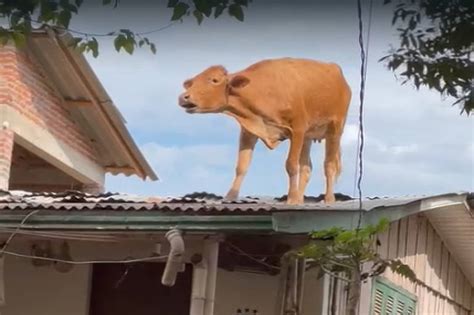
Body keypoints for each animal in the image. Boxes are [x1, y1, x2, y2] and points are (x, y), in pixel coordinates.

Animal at [178, 57, 352, 204]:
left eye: (214, 80)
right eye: (192, 83)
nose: (183, 97)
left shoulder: (298, 128)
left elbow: (291, 164)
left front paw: (291, 199)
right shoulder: (249, 131)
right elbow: (241, 166)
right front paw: (230, 197)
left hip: (335, 128)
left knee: (329, 165)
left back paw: (328, 199)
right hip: (308, 136)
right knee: (306, 168)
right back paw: (300, 198)